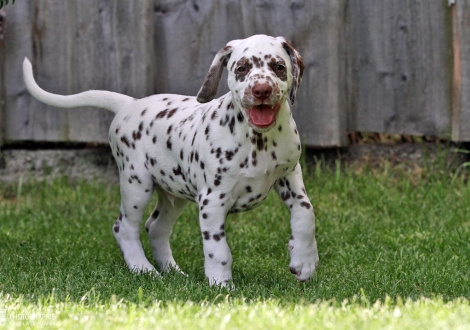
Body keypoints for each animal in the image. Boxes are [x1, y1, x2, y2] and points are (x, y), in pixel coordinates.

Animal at [23, 34, 322, 286]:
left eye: (279, 67)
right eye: (242, 68)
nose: (261, 90)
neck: (258, 141)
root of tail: (129, 104)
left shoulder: (290, 176)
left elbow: (306, 213)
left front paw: (304, 261)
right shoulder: (212, 201)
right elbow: (218, 249)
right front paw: (221, 286)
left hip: (173, 195)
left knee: (155, 228)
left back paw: (173, 272)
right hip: (137, 185)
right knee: (124, 228)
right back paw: (144, 269)